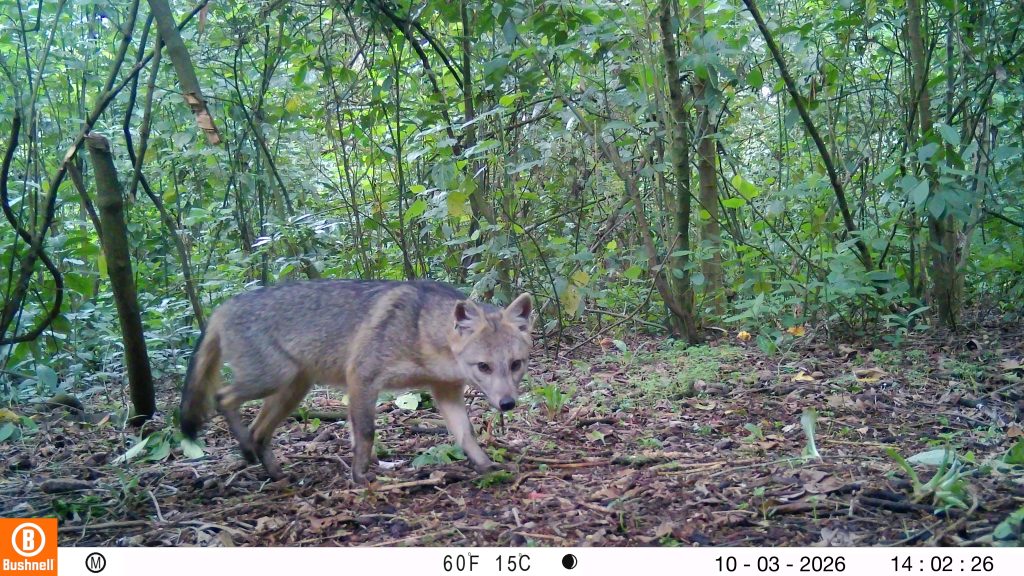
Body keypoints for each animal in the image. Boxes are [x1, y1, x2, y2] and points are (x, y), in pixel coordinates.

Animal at [179, 279, 533, 485]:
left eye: (516, 364)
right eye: (484, 366)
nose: (507, 404)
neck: (421, 331)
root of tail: (224, 306)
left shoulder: (445, 391)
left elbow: (466, 434)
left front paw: (485, 465)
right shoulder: (362, 378)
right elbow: (365, 432)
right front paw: (360, 475)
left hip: (292, 390)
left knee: (258, 431)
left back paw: (272, 470)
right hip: (271, 380)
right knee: (222, 398)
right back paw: (247, 450)